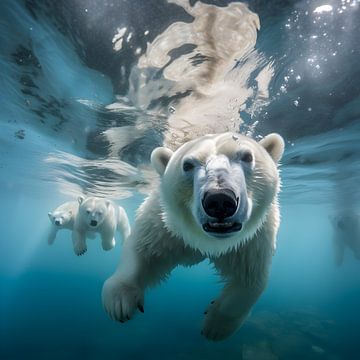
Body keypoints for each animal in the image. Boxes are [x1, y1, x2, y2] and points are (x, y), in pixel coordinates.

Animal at [102, 132, 284, 340]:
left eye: (247, 156)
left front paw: (216, 326)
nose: (219, 200)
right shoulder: (164, 224)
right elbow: (143, 250)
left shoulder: (252, 240)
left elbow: (251, 278)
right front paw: (119, 302)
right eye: (187, 165)